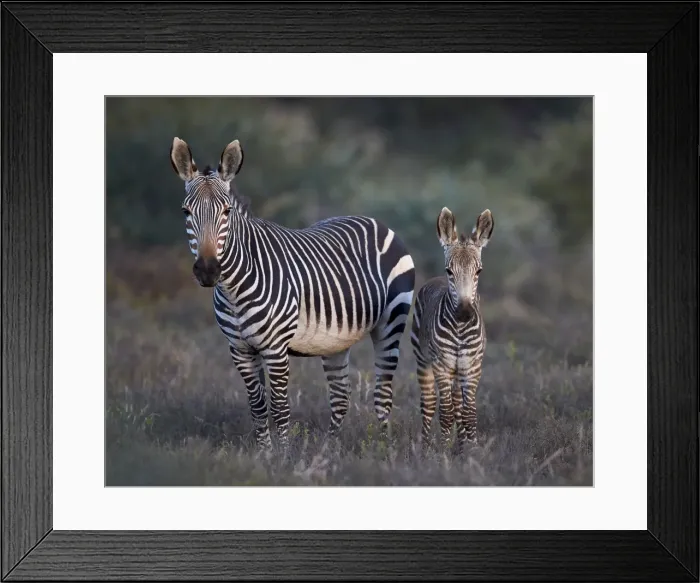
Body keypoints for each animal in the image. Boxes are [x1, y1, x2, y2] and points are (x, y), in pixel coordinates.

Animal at [169, 137, 416, 452]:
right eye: (185, 212)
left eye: (227, 212)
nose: (208, 270)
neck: (234, 289)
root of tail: (376, 221)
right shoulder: (240, 349)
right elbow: (257, 405)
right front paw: (264, 453)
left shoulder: (275, 349)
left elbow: (279, 407)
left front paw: (283, 456)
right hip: (336, 341)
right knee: (340, 396)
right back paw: (328, 450)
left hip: (391, 324)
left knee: (383, 394)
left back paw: (385, 449)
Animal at [410, 205, 494, 453]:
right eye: (449, 271)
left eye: (479, 272)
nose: (464, 313)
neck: (460, 329)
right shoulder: (442, 364)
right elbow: (445, 412)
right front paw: (443, 452)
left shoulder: (473, 366)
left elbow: (468, 413)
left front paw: (470, 450)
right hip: (423, 360)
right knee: (429, 403)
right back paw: (426, 446)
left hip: (459, 368)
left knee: (457, 403)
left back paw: (460, 443)